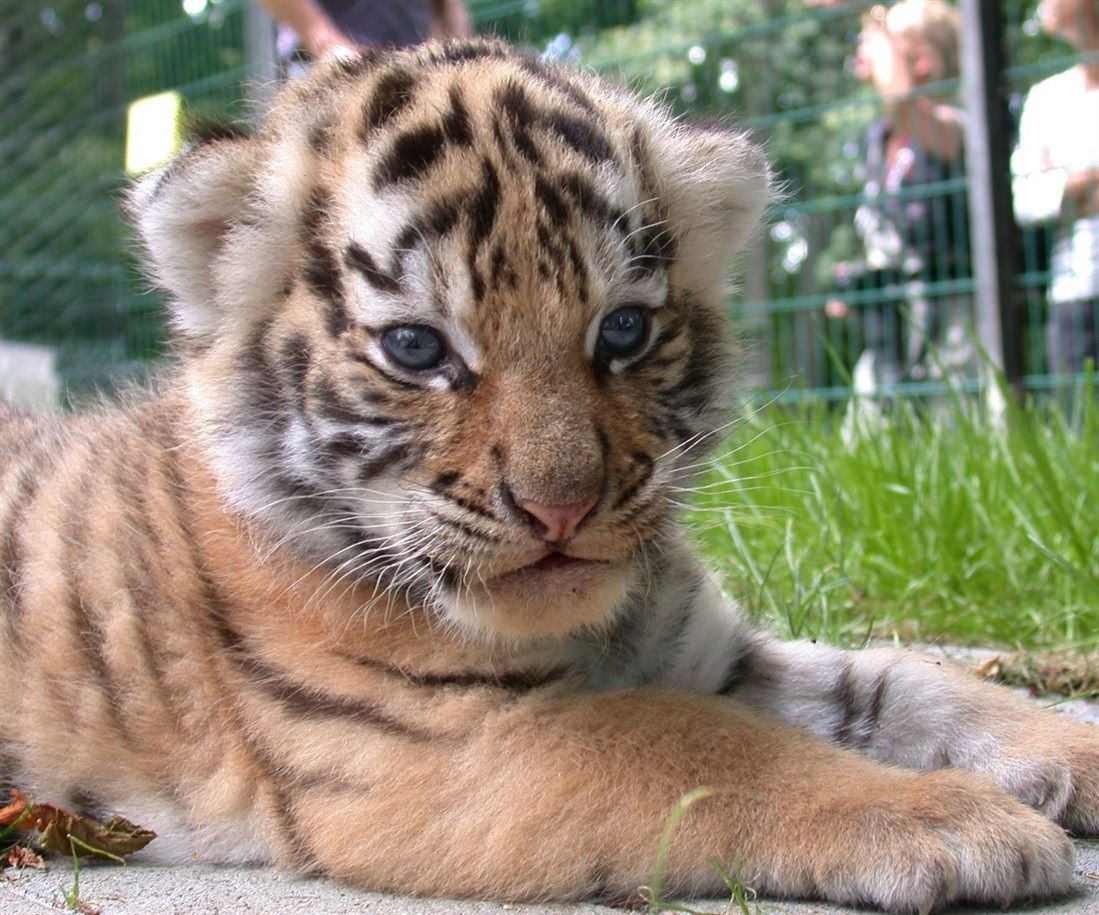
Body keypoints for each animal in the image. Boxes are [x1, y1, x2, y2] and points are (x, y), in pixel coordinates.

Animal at [1, 37, 1096, 914]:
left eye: (623, 331)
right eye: (416, 348)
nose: (560, 507)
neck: (593, 630)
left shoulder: (705, 649)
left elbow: (907, 681)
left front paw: (1065, 753)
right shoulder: (423, 745)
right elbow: (689, 742)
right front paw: (950, 819)